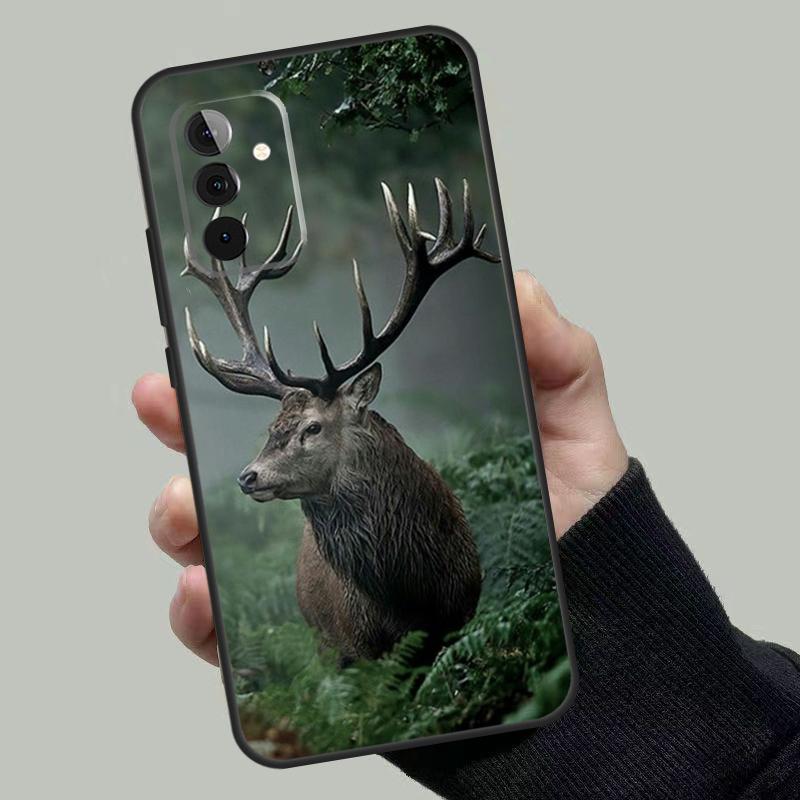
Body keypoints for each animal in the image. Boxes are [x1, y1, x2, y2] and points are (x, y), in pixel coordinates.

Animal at [182, 178, 500, 661]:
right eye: (271, 429)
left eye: (312, 427)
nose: (248, 476)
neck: (412, 597)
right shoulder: (356, 644)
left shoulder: (461, 616)